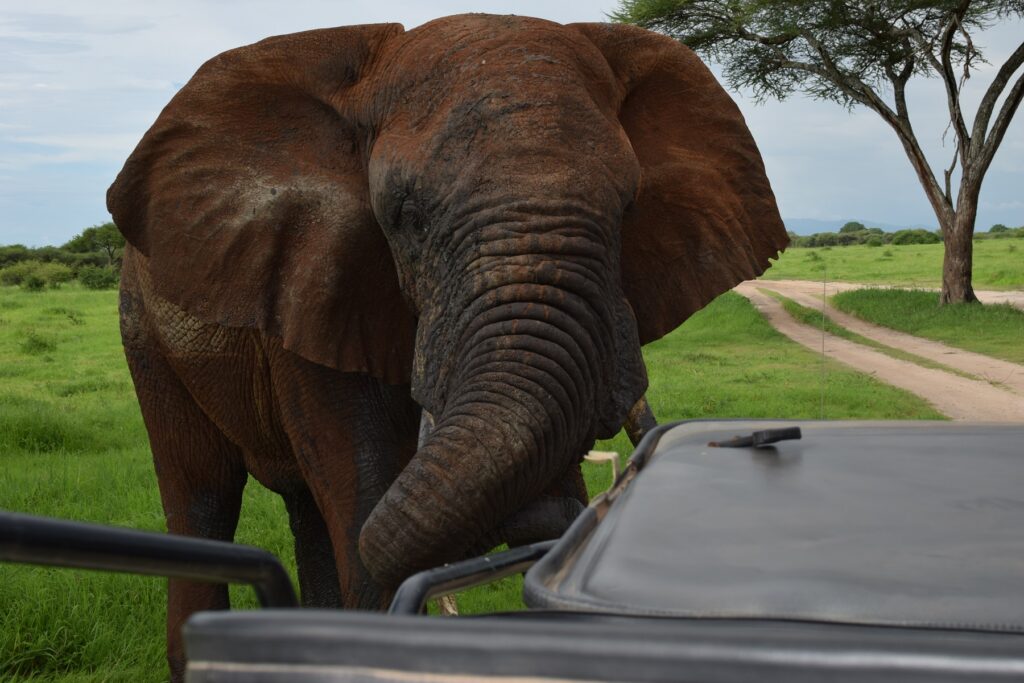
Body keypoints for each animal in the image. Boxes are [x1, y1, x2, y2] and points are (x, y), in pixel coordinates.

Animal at [107, 13, 787, 678]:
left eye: (630, 206)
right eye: (406, 217)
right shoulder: (313, 280)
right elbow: (364, 500)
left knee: (304, 508)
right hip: (143, 330)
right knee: (202, 492)